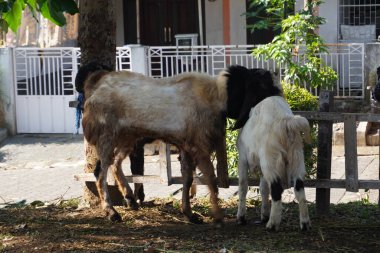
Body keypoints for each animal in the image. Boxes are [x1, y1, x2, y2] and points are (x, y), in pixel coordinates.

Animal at [236, 95, 314, 231]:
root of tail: (286, 121)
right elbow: (263, 188)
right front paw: (264, 215)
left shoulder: (243, 158)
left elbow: (243, 185)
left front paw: (241, 217)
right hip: (296, 157)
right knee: (299, 188)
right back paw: (304, 223)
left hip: (270, 160)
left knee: (276, 189)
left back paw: (272, 224)